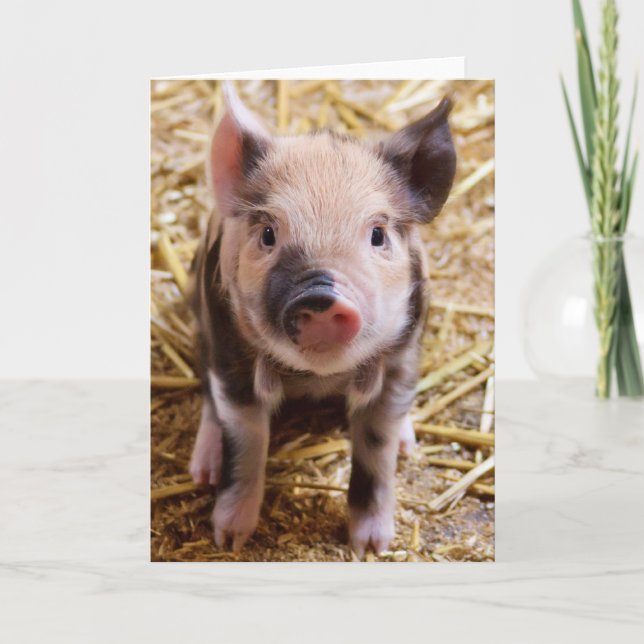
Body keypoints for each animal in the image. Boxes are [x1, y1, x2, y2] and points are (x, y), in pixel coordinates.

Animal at [189, 83, 456, 558]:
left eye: (377, 235)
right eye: (269, 234)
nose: (320, 295)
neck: (317, 378)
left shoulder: (402, 358)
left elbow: (377, 448)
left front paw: (372, 548)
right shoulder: (229, 352)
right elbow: (246, 441)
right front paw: (229, 539)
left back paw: (409, 445)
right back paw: (202, 471)